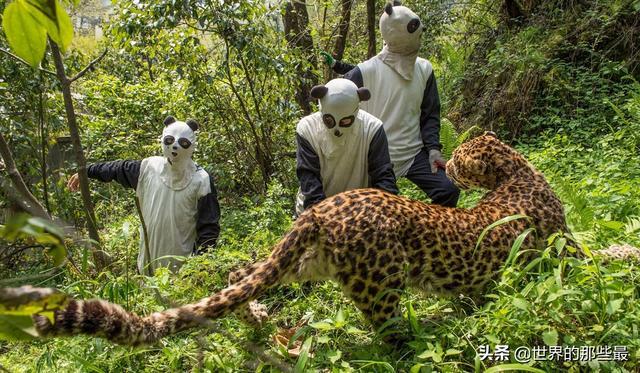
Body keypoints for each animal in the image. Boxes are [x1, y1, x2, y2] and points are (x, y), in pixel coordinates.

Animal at [32, 132, 636, 344]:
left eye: (463, 155)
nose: (447, 159)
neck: (516, 174)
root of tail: (324, 209)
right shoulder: (560, 247)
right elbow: (593, 259)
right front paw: (624, 254)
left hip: (306, 263)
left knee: (240, 275)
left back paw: (260, 319)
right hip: (380, 284)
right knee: (390, 339)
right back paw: (420, 344)